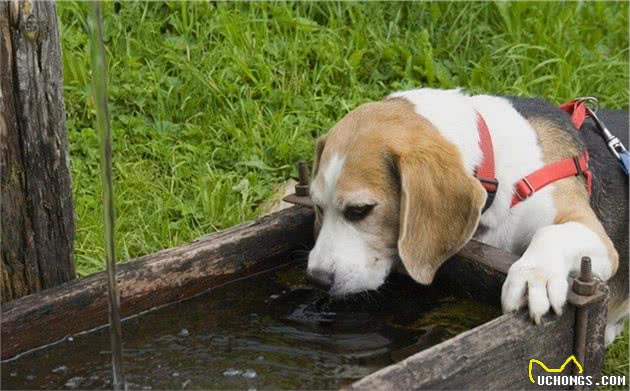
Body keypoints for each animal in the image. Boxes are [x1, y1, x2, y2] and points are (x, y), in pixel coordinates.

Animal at [306, 88, 628, 344]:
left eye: (359, 210)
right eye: (318, 206)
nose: (316, 279)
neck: (498, 169)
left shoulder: (593, 234)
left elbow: (550, 233)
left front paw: (533, 276)